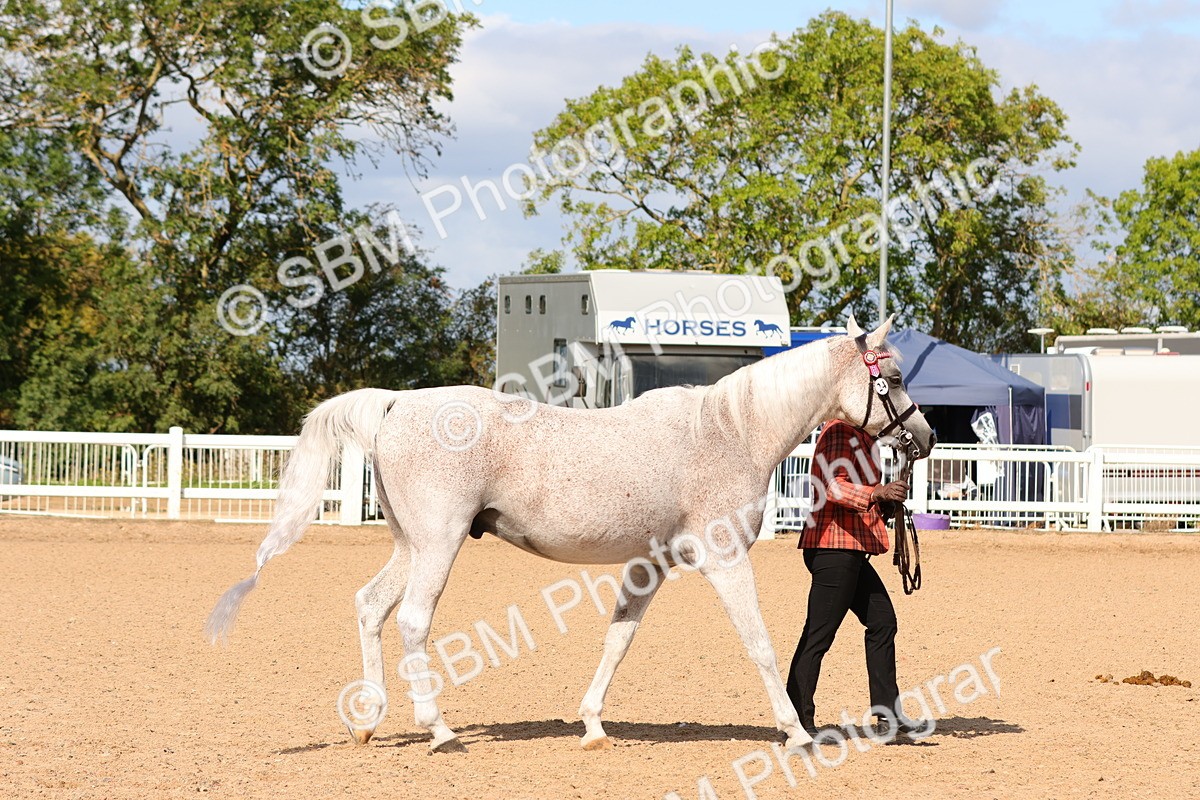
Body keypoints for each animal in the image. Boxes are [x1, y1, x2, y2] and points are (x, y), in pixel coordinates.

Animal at [205, 315, 935, 754]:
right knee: (411, 620)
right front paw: (795, 732)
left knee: (369, 607)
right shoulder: (724, 559)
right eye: (895, 378)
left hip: (409, 544)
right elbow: (759, 643)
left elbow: (618, 639)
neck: (730, 431)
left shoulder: (650, 564)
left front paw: (592, 725)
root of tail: (396, 404)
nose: (926, 437)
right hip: (438, 544)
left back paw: (368, 722)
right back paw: (439, 731)